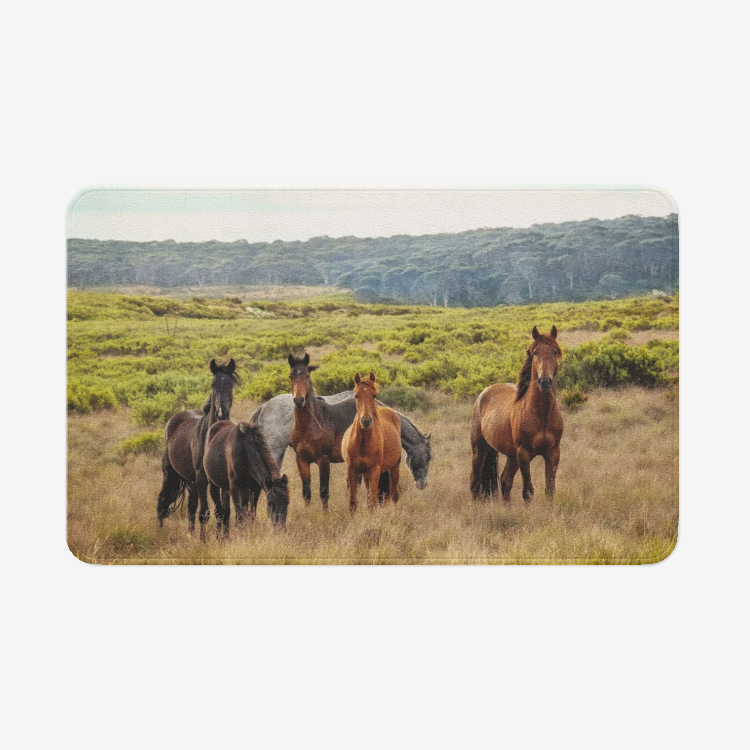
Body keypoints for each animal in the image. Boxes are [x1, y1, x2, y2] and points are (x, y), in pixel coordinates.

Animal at [156, 358, 238, 540]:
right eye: (213, 384)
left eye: (231, 384)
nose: (221, 414)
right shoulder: (202, 478)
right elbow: (205, 512)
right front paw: (203, 541)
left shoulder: (222, 480)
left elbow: (224, 511)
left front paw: (223, 538)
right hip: (170, 475)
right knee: (162, 501)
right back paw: (159, 531)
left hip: (190, 480)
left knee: (191, 506)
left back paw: (190, 534)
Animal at [342, 372, 402, 512]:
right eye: (356, 395)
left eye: (374, 395)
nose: (366, 421)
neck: (362, 443)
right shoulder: (352, 469)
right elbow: (353, 502)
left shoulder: (375, 470)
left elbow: (372, 502)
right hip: (365, 473)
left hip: (394, 467)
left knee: (394, 494)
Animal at [470, 326, 563, 504]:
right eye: (535, 353)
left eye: (554, 352)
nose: (544, 381)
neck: (542, 415)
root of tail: (484, 393)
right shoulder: (524, 454)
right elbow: (528, 491)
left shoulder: (553, 453)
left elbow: (550, 490)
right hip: (480, 449)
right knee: (475, 481)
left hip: (511, 456)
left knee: (505, 481)